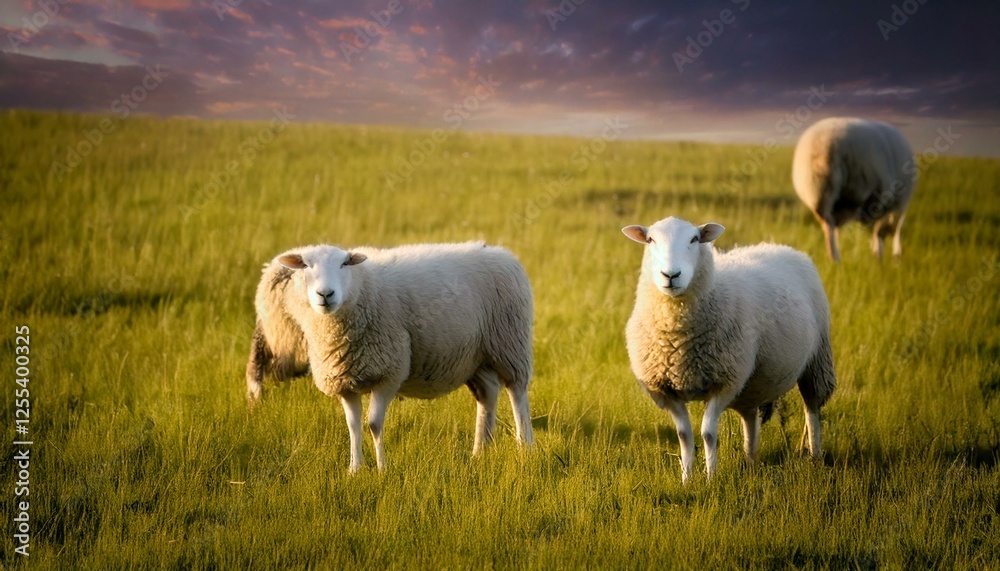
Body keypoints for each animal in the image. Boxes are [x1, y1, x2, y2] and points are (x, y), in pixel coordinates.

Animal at [245, 241, 535, 472]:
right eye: (305, 265)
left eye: (344, 263)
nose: (325, 294)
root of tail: (501, 252)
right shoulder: (344, 380)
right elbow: (353, 425)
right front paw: (355, 470)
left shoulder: (389, 372)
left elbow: (373, 424)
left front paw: (382, 469)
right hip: (475, 356)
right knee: (488, 394)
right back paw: (480, 451)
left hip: (510, 342)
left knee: (517, 392)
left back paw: (525, 446)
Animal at [621, 217, 836, 482]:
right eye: (650, 239)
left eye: (694, 239)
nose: (671, 275)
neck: (678, 338)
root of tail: (780, 247)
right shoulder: (666, 390)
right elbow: (684, 435)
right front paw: (687, 479)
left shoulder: (724, 383)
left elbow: (708, 434)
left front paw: (710, 479)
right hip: (752, 383)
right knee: (750, 418)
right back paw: (751, 461)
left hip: (817, 359)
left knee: (812, 409)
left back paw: (815, 456)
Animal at [792, 117, 916, 262]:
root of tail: (828, 146)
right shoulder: (890, 203)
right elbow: (881, 231)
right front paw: (881, 256)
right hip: (857, 191)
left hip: (820, 195)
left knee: (829, 225)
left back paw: (835, 259)